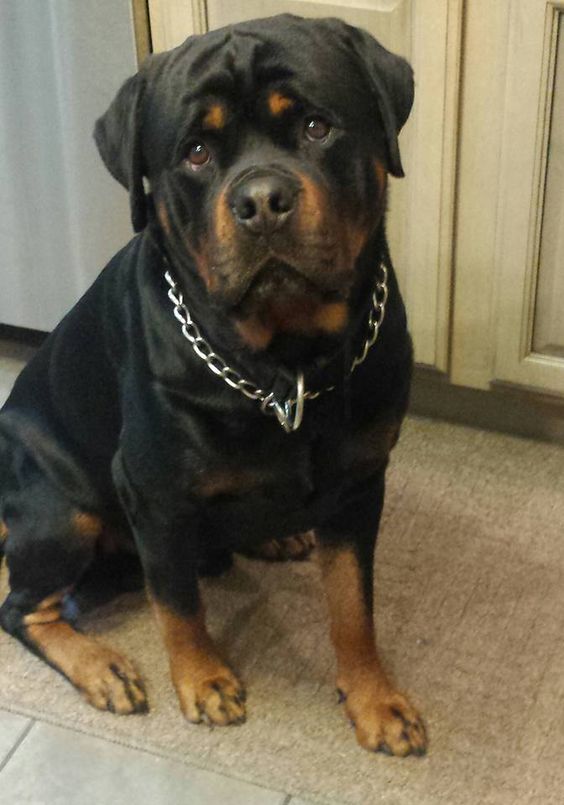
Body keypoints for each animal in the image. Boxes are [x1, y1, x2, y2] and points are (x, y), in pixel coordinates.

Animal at [0, 14, 426, 752]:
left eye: (316, 126)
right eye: (195, 152)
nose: (262, 201)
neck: (285, 364)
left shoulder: (360, 482)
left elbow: (354, 603)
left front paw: (374, 696)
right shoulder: (153, 492)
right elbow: (177, 602)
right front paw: (202, 680)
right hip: (63, 509)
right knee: (22, 608)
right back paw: (101, 665)